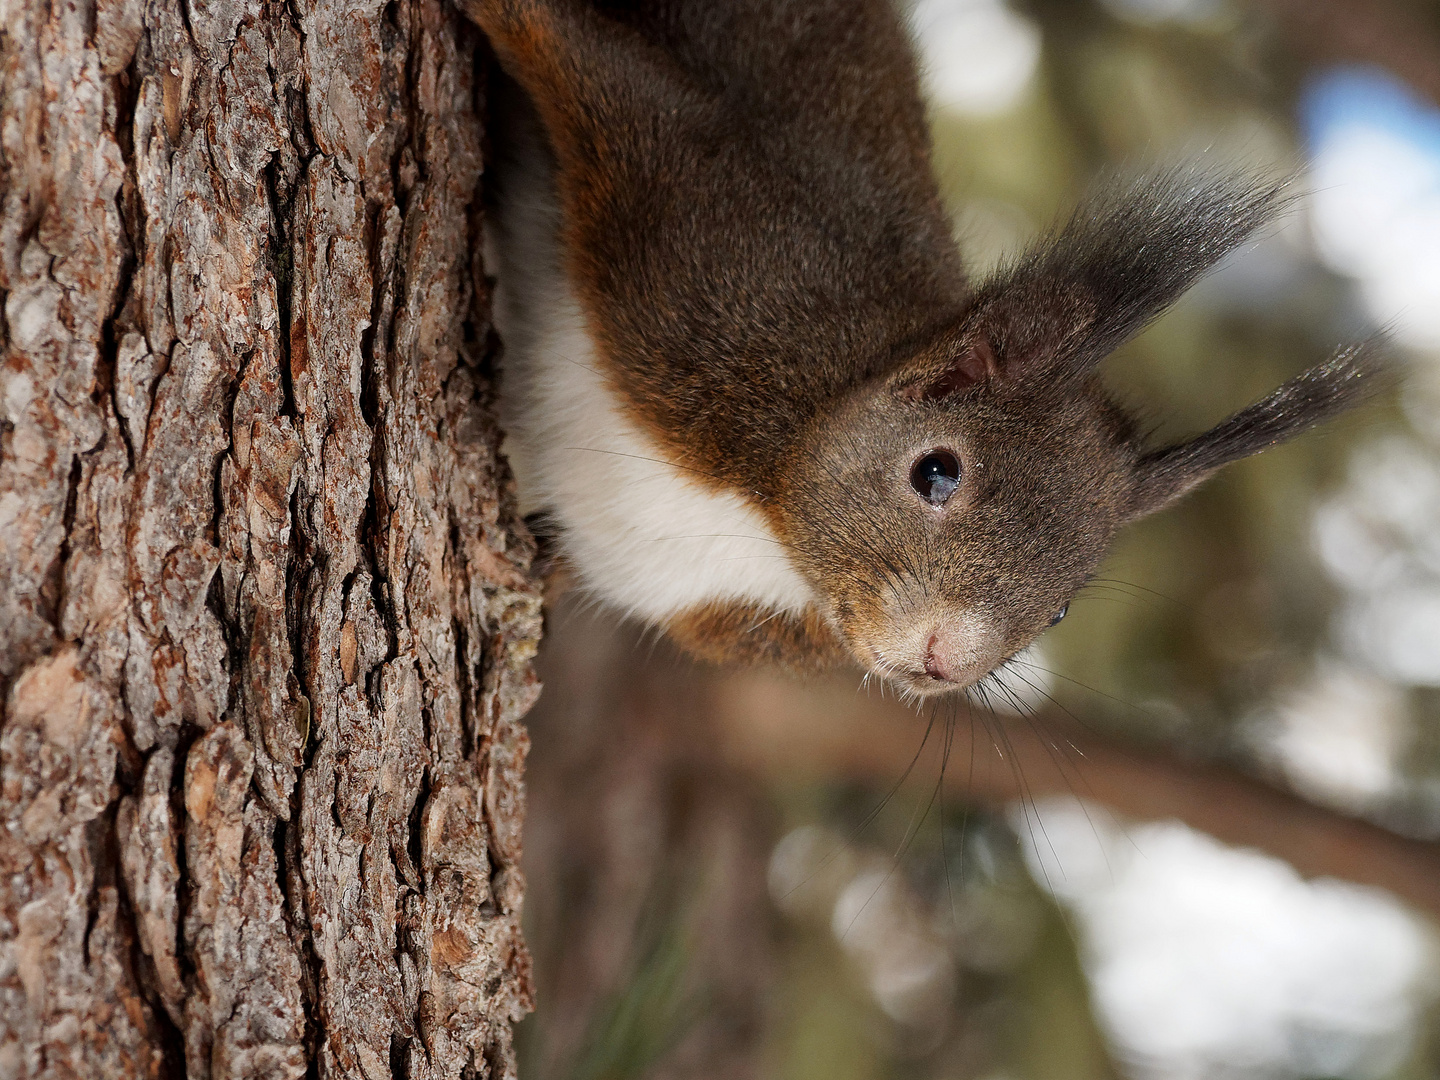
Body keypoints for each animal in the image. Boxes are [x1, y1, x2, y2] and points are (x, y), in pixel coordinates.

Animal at [463, 0, 1382, 702]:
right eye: (935, 473)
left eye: (1062, 610)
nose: (947, 664)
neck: (762, 518)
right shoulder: (707, 245)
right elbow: (589, 63)